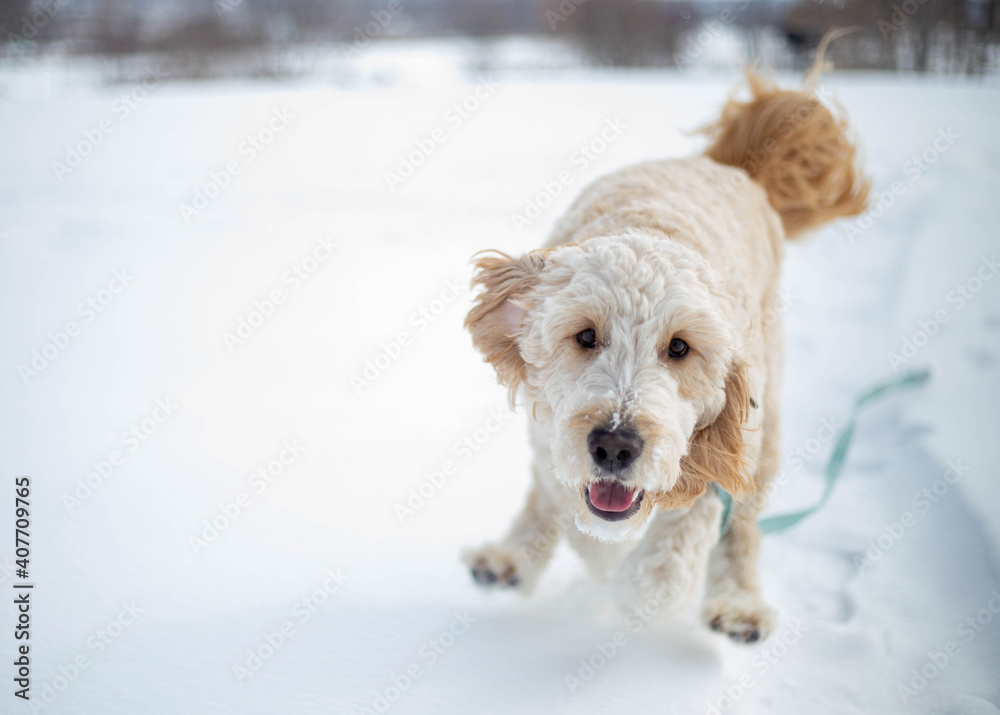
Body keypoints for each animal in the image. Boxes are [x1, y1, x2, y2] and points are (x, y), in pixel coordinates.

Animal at [464, 63, 872, 644]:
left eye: (680, 347)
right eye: (585, 336)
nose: (614, 446)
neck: (652, 225)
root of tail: (725, 166)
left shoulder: (724, 444)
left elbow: (667, 560)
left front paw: (638, 591)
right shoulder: (551, 436)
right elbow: (561, 499)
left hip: (765, 425)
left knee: (744, 526)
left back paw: (738, 603)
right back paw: (510, 556)